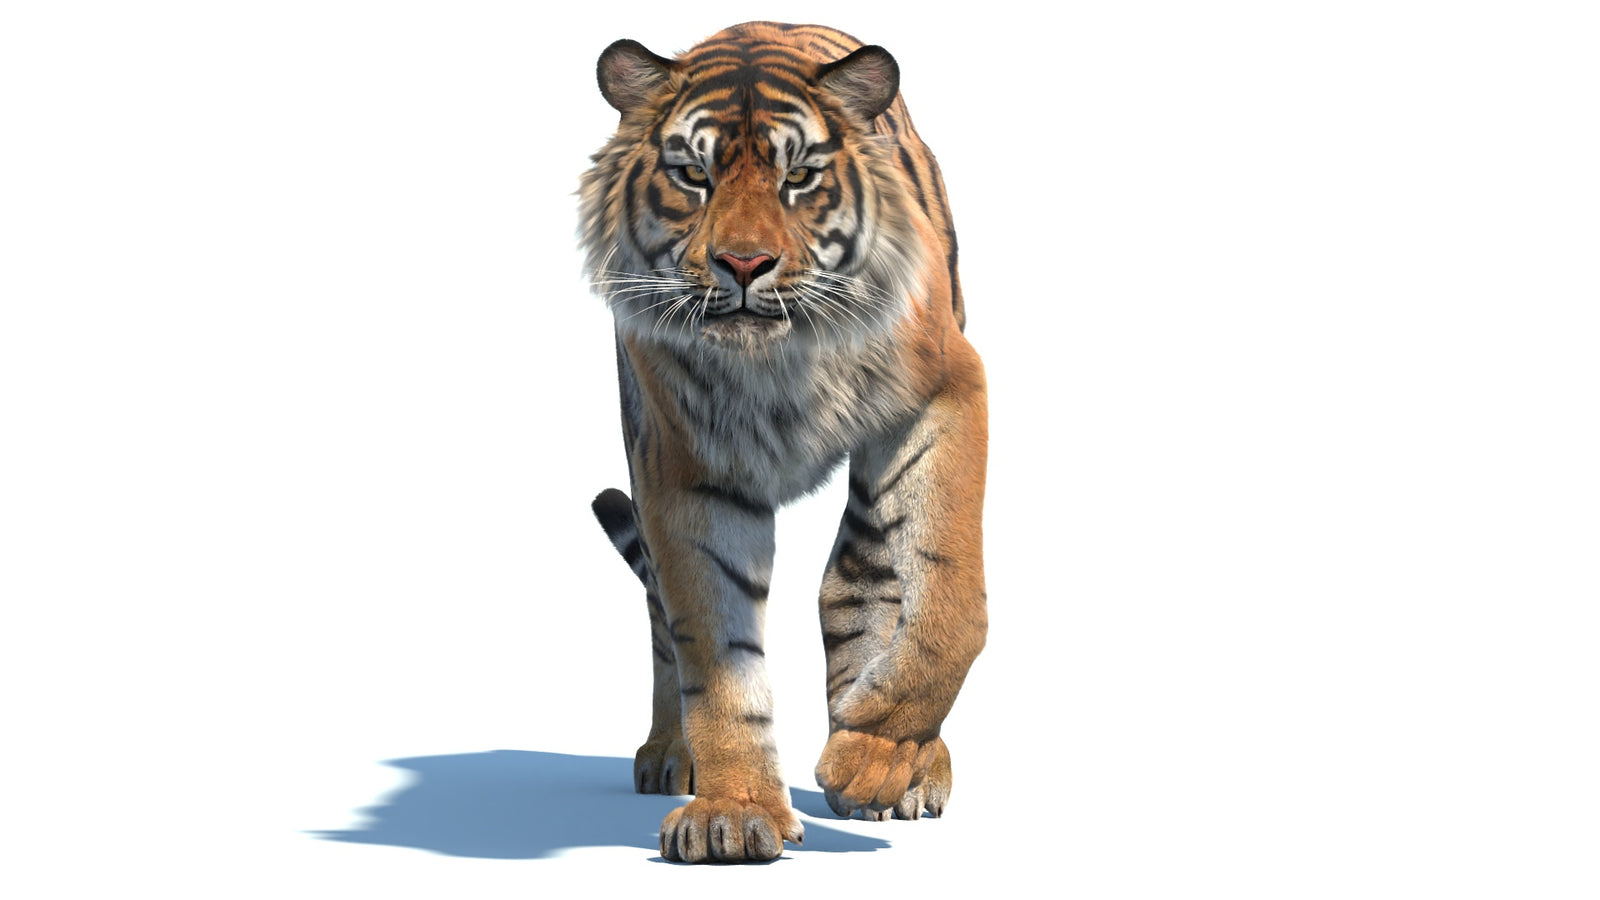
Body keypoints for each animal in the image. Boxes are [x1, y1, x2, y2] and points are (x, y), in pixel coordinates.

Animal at [579, 21, 987, 863]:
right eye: (692, 175)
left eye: (799, 176)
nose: (743, 264)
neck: (777, 363)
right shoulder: (685, 468)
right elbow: (714, 650)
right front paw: (733, 812)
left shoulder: (947, 391)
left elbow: (952, 600)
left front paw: (874, 758)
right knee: (663, 613)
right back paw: (669, 755)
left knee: (858, 582)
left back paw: (896, 767)